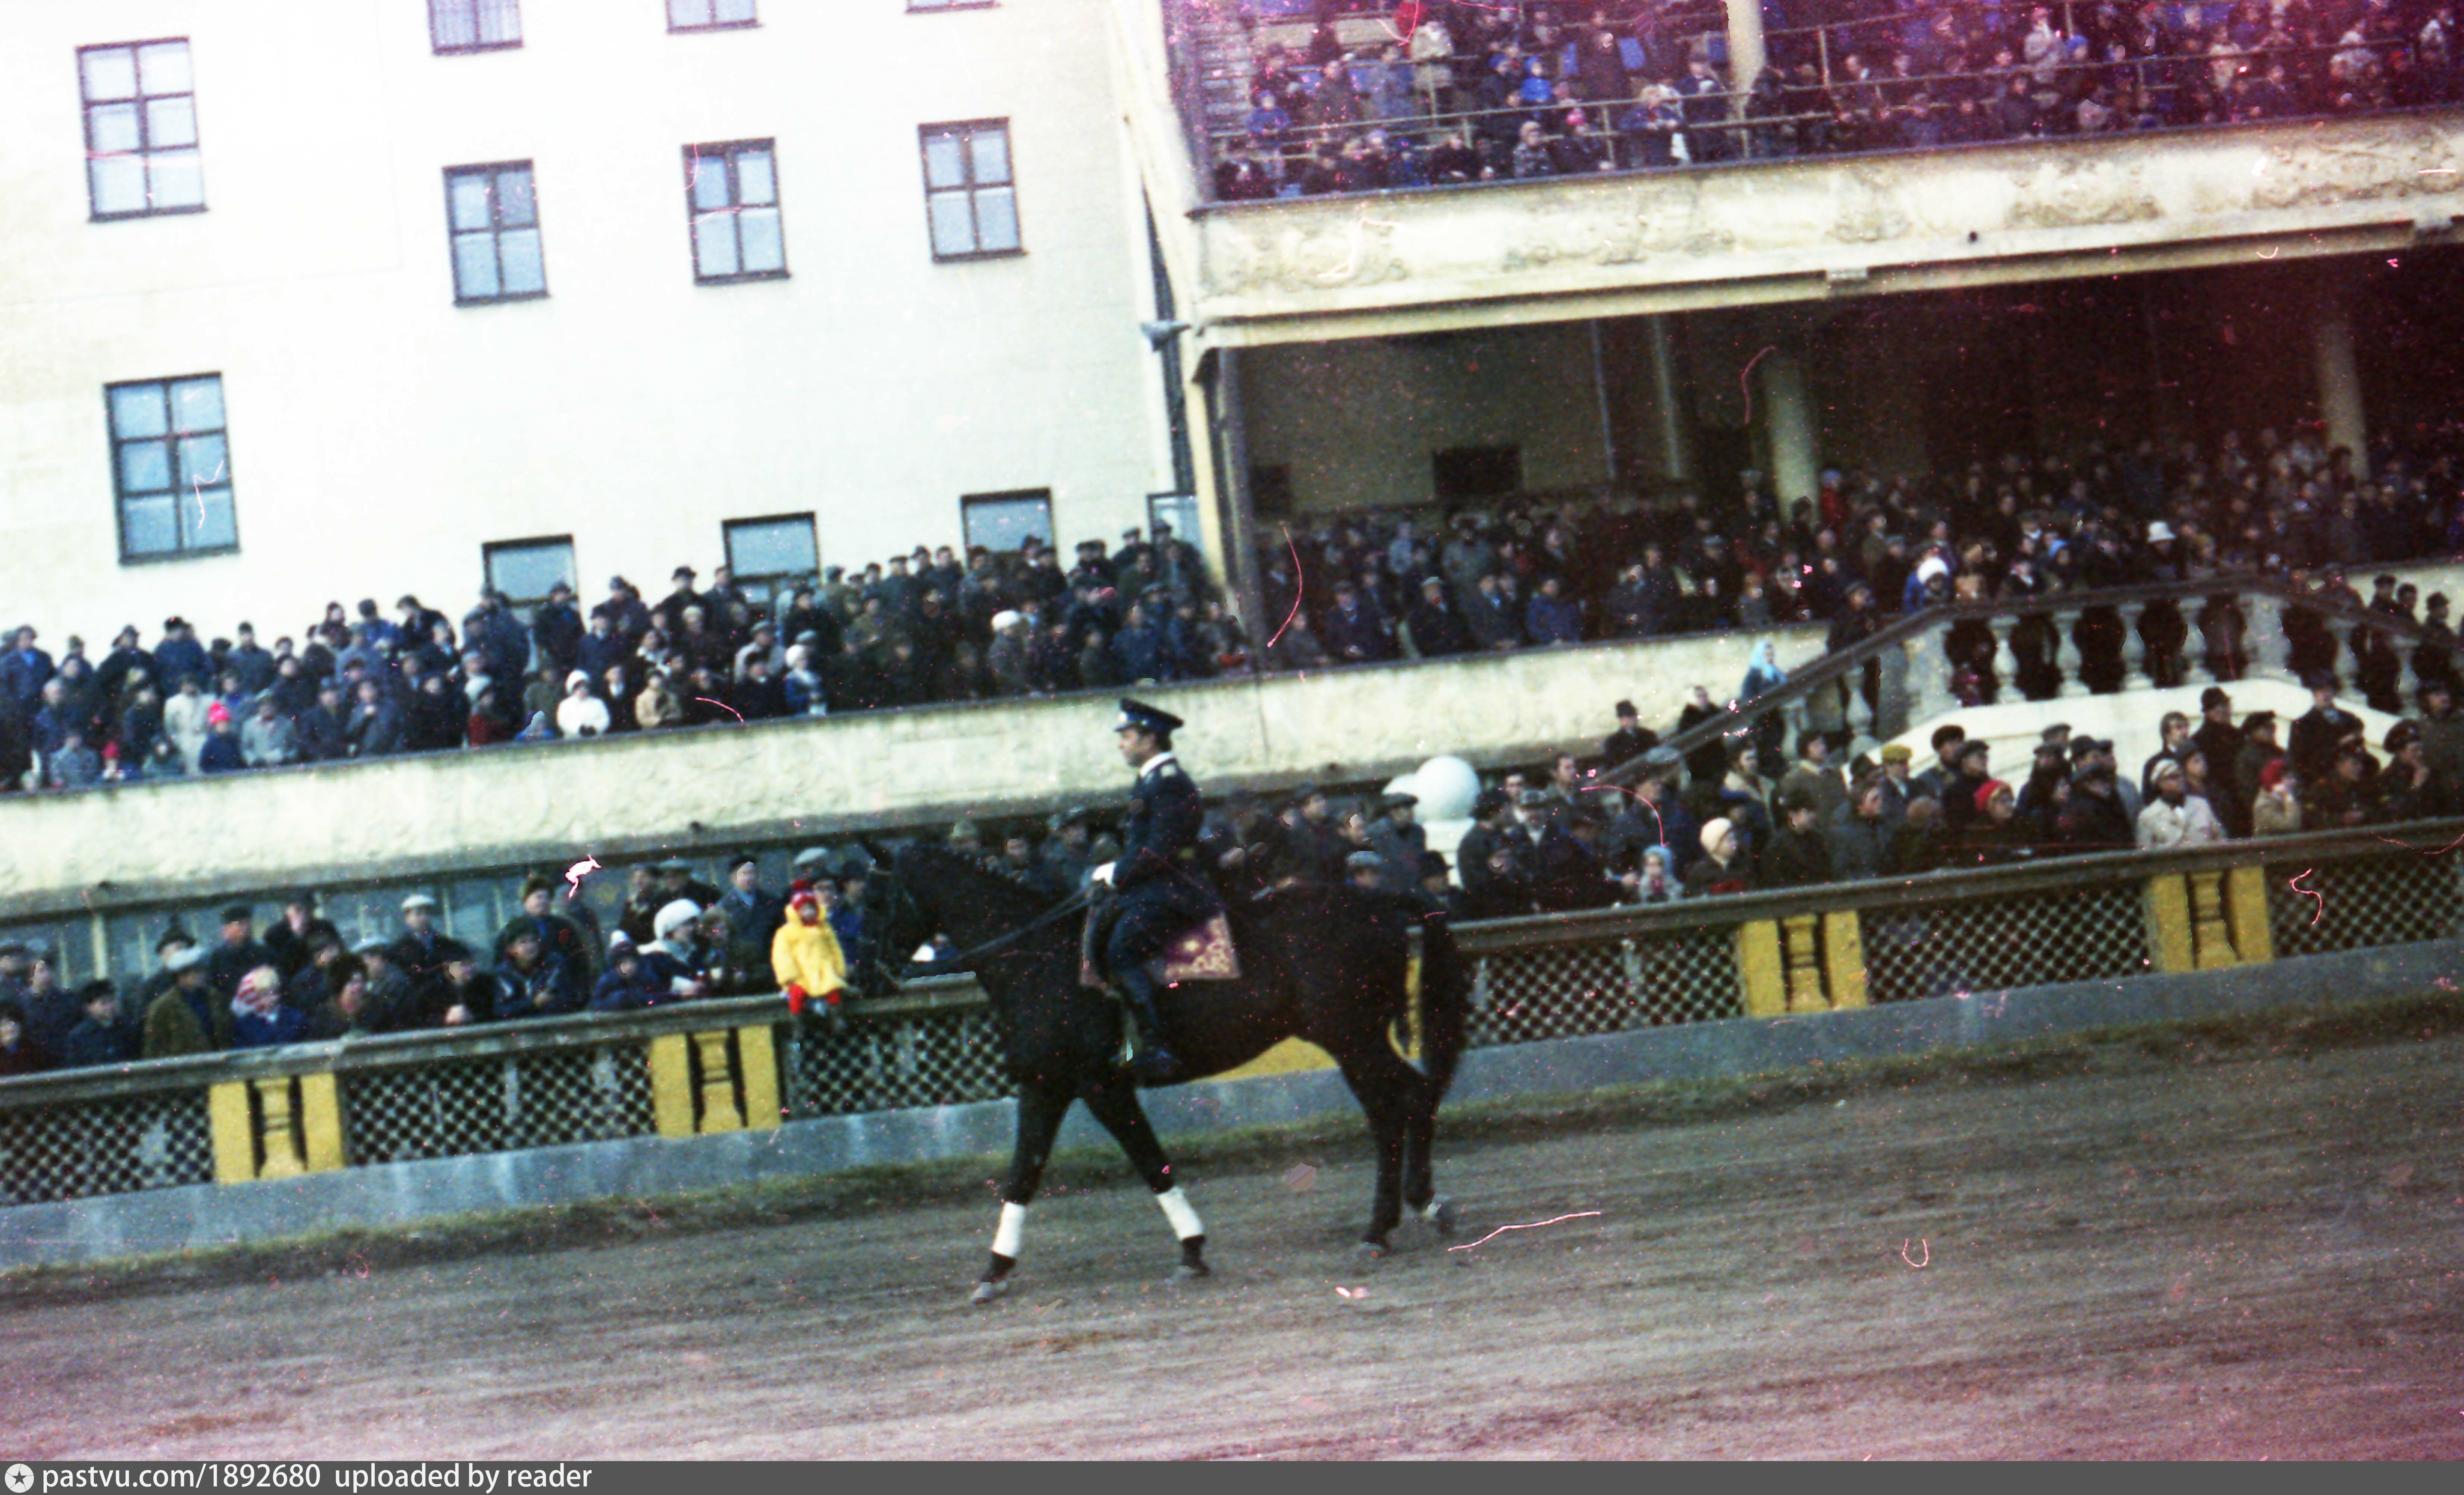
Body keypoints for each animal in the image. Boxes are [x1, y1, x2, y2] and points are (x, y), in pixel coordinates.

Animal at [859, 840, 1470, 1304]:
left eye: (876, 898)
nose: (865, 977)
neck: (1038, 958)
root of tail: (1376, 898)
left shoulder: (1101, 1087)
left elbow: (1150, 1162)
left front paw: (1192, 1250)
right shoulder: (1045, 1086)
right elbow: (1022, 1175)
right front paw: (994, 1270)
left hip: (1352, 1037)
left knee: (1404, 1103)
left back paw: (1391, 1221)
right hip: (1352, 1041)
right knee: (1400, 1106)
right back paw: (1406, 1212)